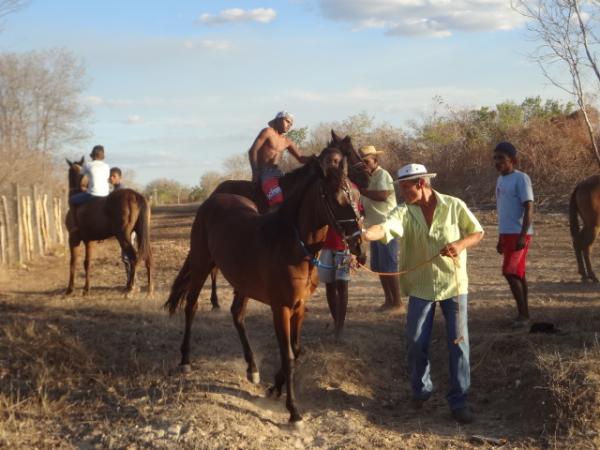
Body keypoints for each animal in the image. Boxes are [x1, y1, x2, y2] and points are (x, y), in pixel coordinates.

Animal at [65, 157, 154, 296]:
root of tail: (135, 195)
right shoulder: (89, 241)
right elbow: (87, 263)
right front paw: (86, 289)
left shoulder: (73, 240)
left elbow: (73, 262)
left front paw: (70, 289)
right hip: (140, 234)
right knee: (147, 256)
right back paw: (149, 288)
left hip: (123, 236)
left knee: (133, 258)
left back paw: (130, 288)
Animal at [163, 151, 360, 426]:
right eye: (335, 198)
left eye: (355, 196)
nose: (358, 240)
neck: (292, 244)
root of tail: (212, 200)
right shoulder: (281, 308)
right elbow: (288, 357)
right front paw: (294, 412)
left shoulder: (299, 307)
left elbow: (296, 350)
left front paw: (274, 388)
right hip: (202, 266)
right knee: (191, 307)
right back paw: (185, 360)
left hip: (242, 283)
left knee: (237, 315)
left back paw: (252, 369)